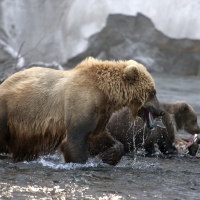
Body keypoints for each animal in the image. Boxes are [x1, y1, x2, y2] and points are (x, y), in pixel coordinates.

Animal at [0, 56, 164, 164]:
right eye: (153, 92)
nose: (161, 111)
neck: (104, 94)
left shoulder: (100, 112)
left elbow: (98, 135)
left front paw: (111, 154)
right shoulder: (81, 102)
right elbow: (76, 138)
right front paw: (80, 162)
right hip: (11, 112)